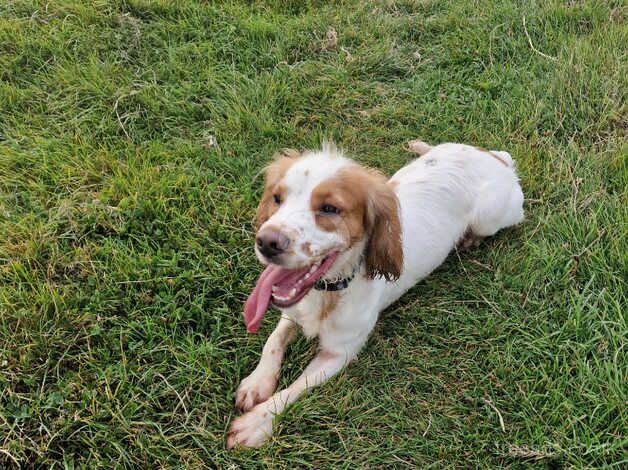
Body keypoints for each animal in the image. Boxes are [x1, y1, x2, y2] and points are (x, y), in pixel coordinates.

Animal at [226, 140, 524, 448]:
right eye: (277, 198)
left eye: (329, 208)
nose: (266, 242)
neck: (331, 291)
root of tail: (497, 161)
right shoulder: (293, 312)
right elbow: (272, 341)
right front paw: (257, 382)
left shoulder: (339, 353)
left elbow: (296, 388)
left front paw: (256, 423)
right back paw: (420, 146)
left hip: (491, 217)